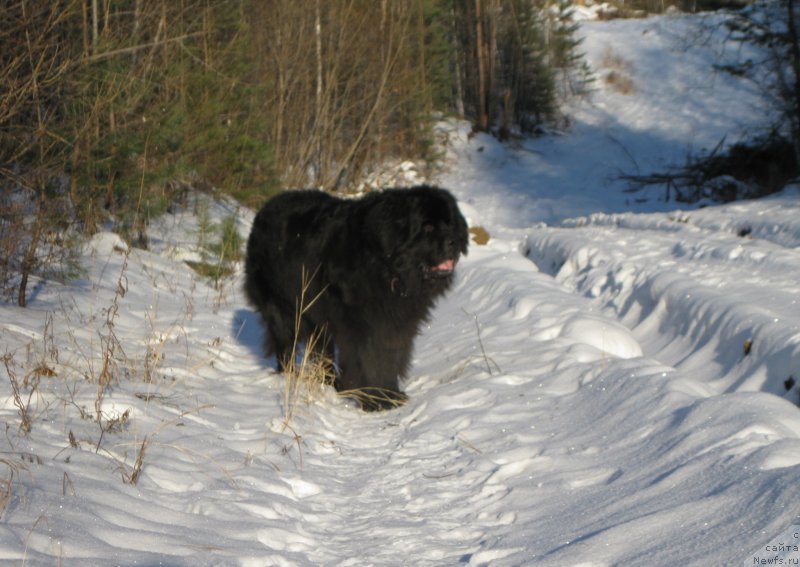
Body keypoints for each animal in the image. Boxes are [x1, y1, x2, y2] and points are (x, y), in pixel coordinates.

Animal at [244, 186, 468, 412]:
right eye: (428, 227)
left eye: (451, 224)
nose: (454, 241)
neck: (387, 267)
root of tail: (265, 208)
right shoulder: (363, 324)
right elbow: (370, 359)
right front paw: (376, 400)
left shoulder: (396, 322)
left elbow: (391, 356)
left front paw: (391, 394)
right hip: (283, 307)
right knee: (286, 345)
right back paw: (291, 376)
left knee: (322, 351)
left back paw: (331, 383)